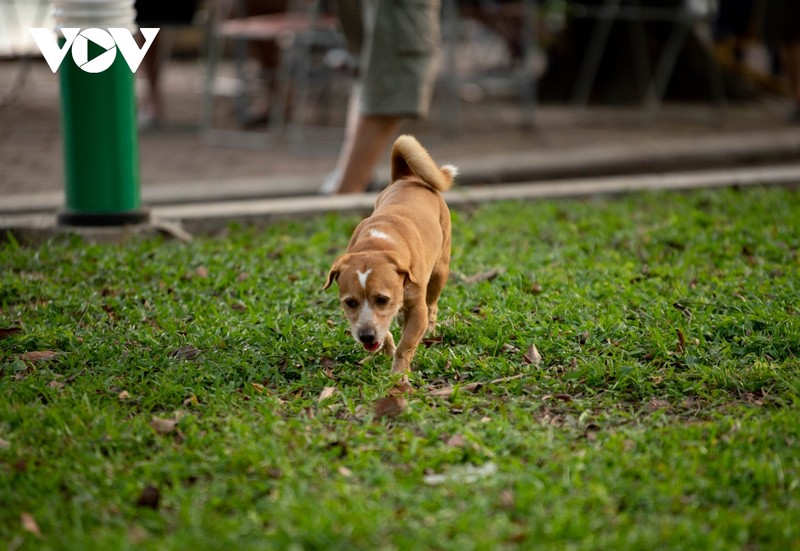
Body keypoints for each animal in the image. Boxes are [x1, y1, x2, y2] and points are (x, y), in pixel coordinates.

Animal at [322, 135, 454, 384]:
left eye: (382, 299)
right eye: (349, 302)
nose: (366, 336)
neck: (377, 245)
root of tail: (408, 177)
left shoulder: (417, 308)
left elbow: (406, 344)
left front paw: (399, 376)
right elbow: (388, 333)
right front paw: (388, 348)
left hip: (440, 270)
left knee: (432, 304)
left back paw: (430, 328)